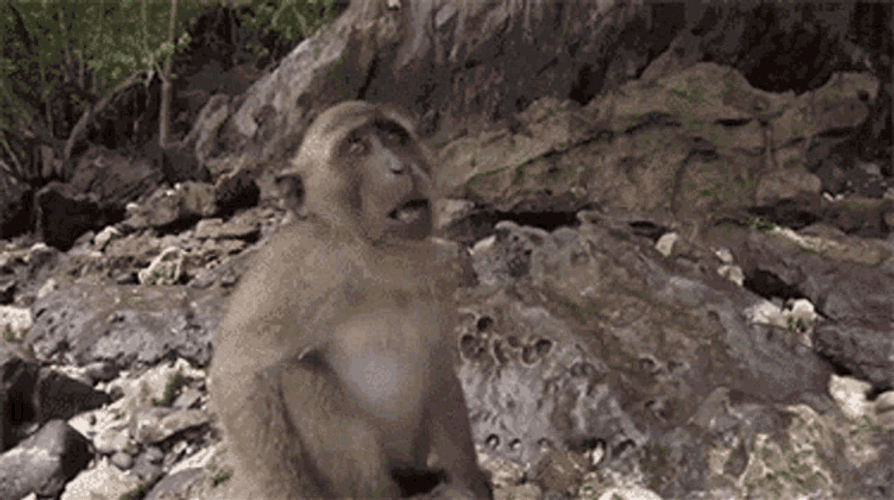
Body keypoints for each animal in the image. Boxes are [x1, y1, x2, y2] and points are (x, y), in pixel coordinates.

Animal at [210, 101, 492, 500]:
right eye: (356, 146)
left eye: (393, 136)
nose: (399, 166)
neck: (372, 253)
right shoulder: (294, 265)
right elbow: (240, 371)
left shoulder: (440, 271)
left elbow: (439, 365)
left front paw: (469, 484)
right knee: (297, 374)